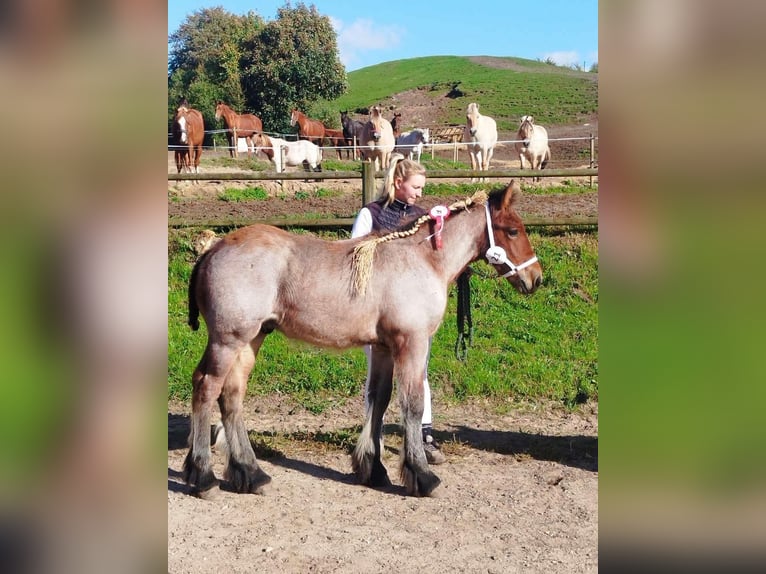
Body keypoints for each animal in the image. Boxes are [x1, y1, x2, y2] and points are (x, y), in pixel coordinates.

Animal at [183, 180, 542, 499]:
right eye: (512, 230)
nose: (535, 279)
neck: (420, 260)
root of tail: (214, 248)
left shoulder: (383, 348)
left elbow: (379, 401)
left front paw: (374, 470)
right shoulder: (411, 343)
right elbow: (412, 404)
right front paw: (421, 475)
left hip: (250, 340)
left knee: (231, 395)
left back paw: (250, 473)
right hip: (227, 340)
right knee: (206, 387)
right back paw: (203, 477)